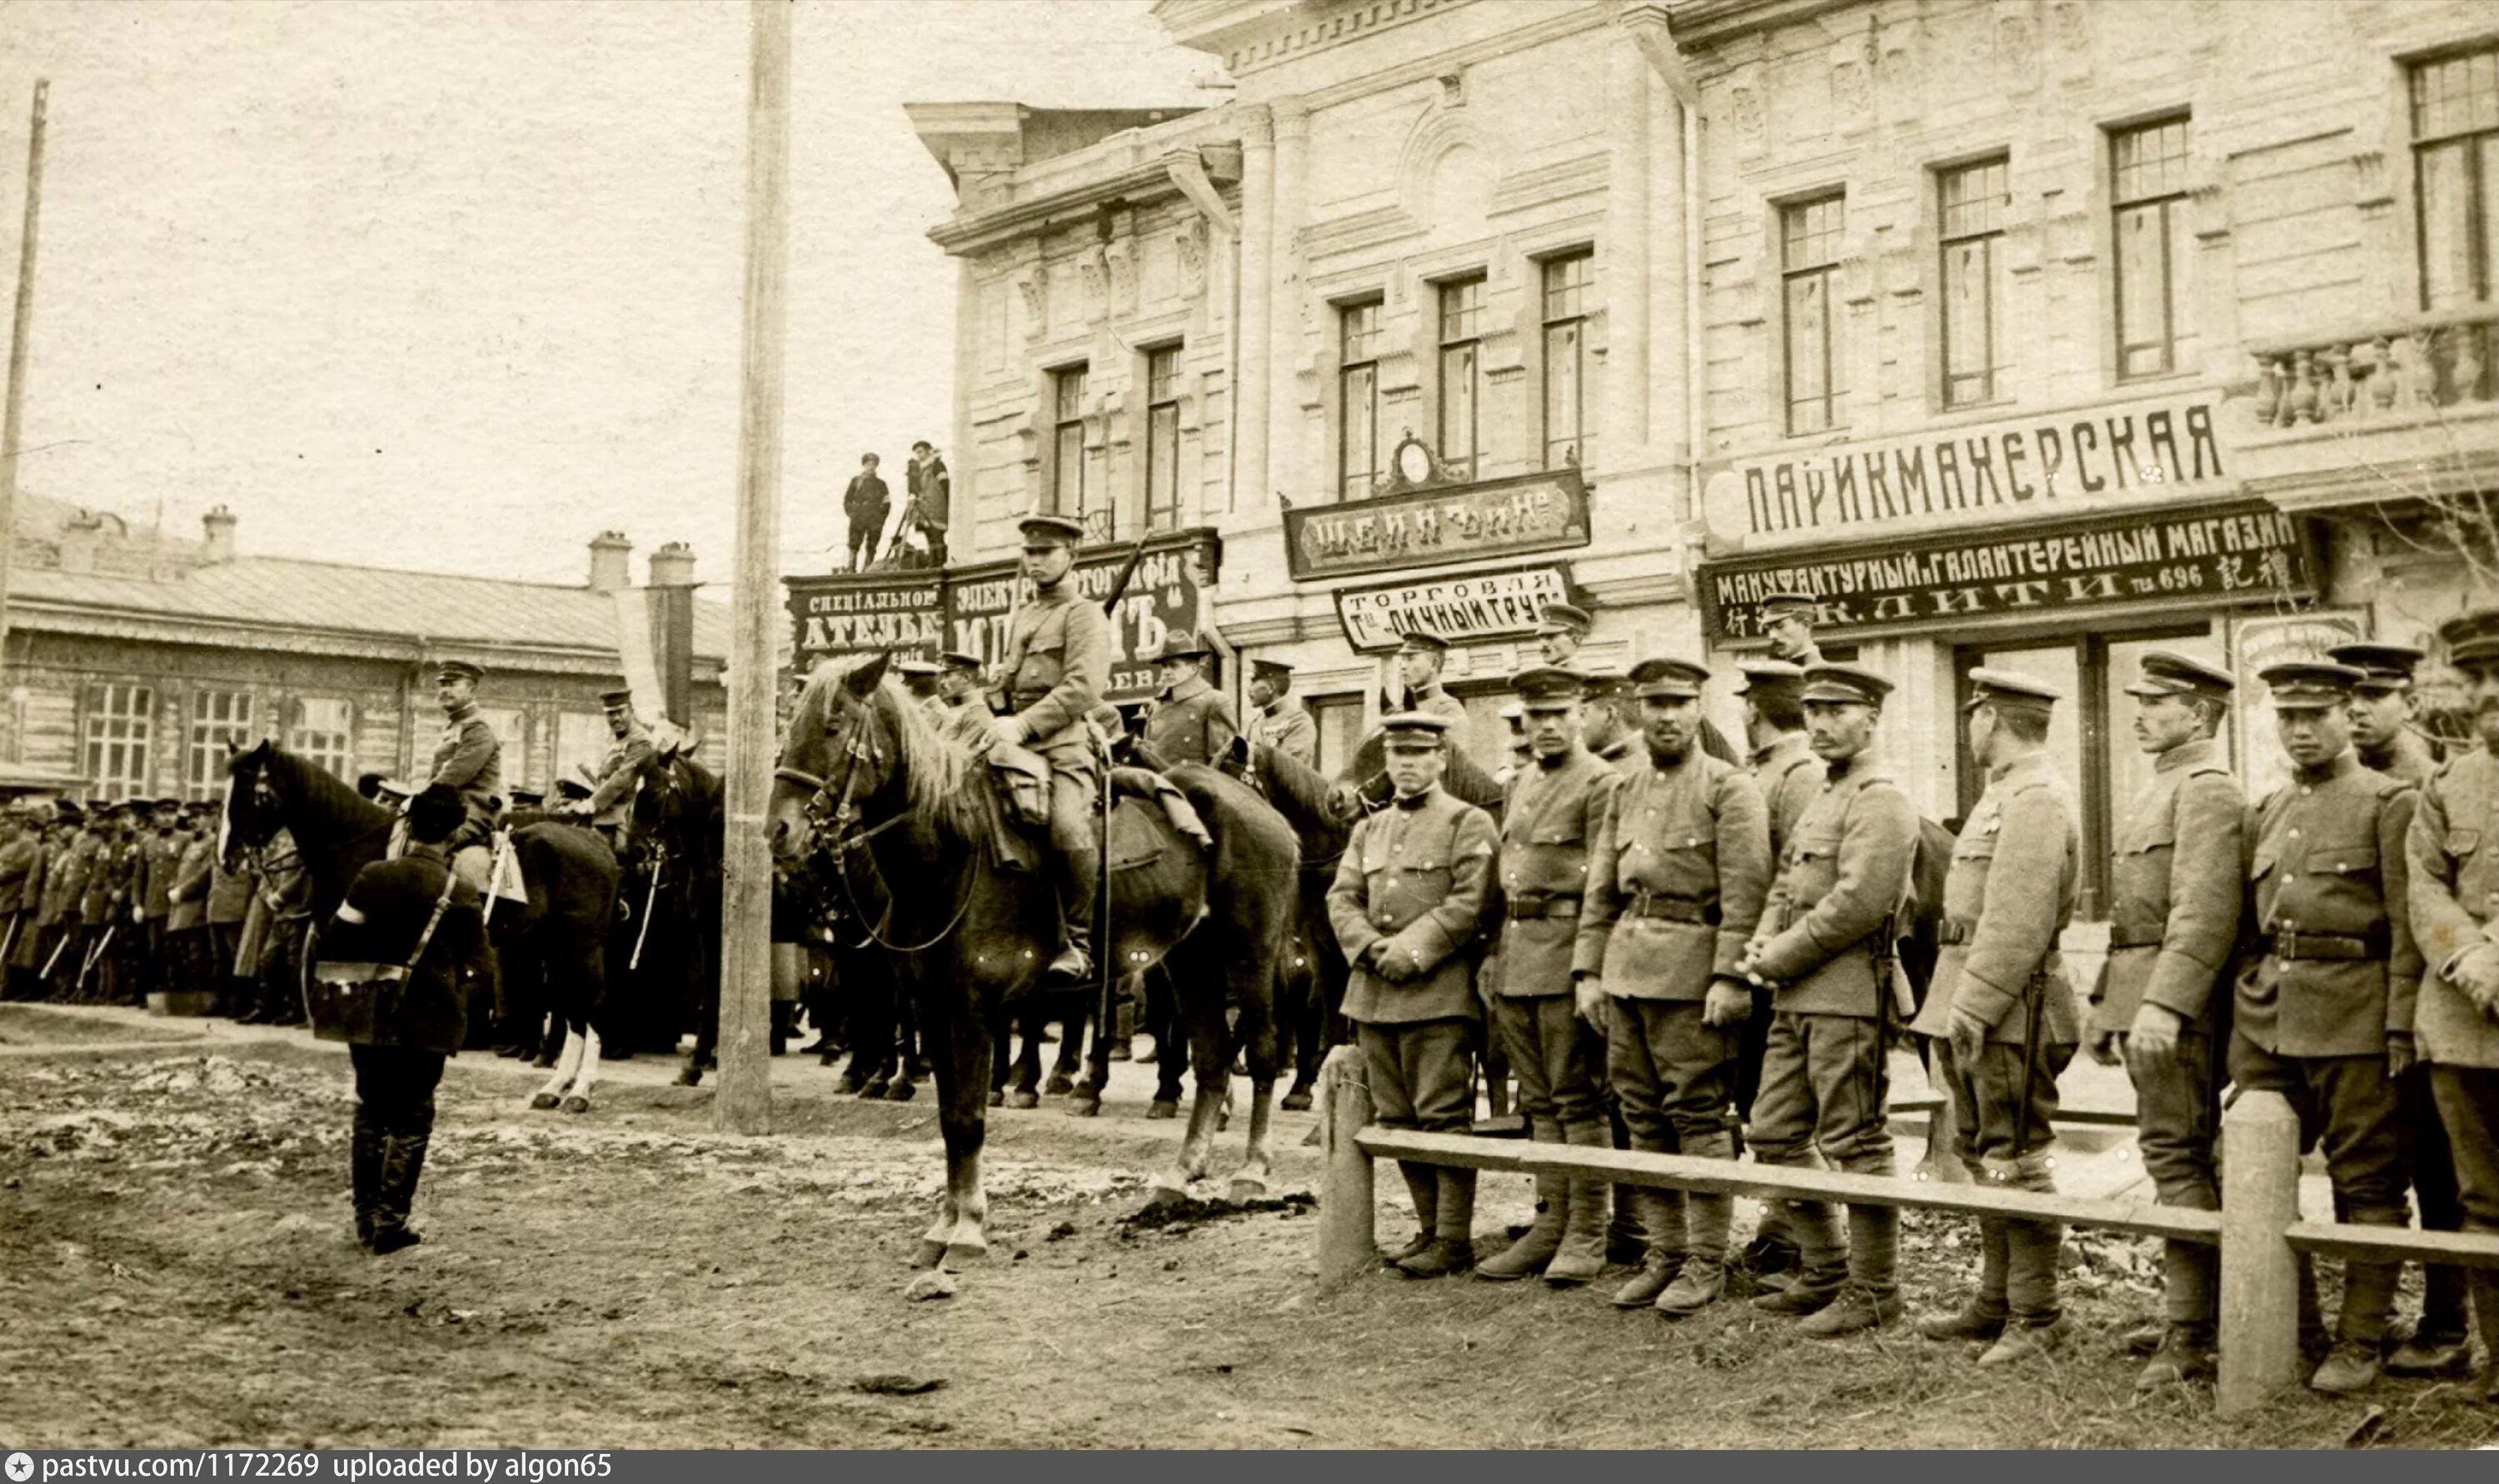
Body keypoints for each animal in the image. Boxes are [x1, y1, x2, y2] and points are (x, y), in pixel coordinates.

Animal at [225, 744, 625, 1104]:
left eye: (248, 795)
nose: (228, 859)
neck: (358, 844)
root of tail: (595, 840)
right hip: (553, 948)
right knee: (570, 1008)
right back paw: (555, 1088)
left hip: (581, 947)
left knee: (592, 1007)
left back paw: (581, 1090)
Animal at [770, 655, 1299, 1289]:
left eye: (832, 726)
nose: (778, 830)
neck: (951, 851)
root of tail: (1261, 806)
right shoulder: (932, 1006)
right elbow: (949, 1117)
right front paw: (942, 1228)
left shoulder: (971, 1008)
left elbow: (969, 1117)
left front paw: (967, 1233)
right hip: (1188, 962)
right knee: (1215, 1057)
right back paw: (1178, 1177)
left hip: (1249, 954)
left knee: (1262, 1052)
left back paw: (1251, 1171)